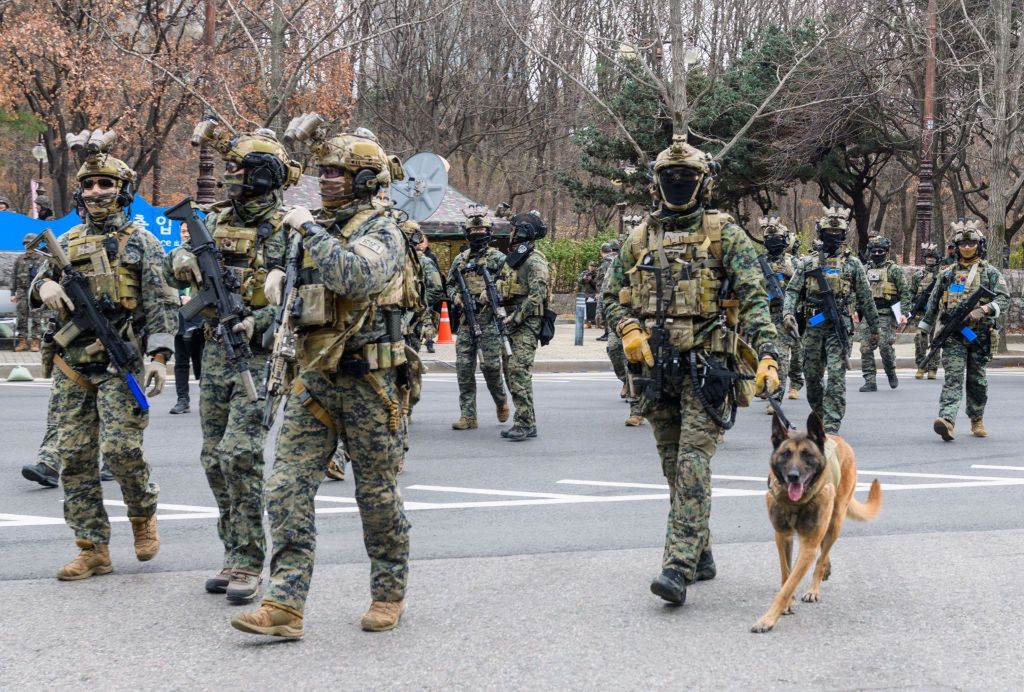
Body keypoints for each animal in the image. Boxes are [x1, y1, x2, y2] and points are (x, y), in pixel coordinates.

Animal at [749, 411, 884, 630]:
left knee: (821, 556)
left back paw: (815, 586)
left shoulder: (809, 545)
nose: (793, 476)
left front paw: (768, 619)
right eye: (785, 454)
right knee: (820, 555)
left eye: (807, 455)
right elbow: (786, 574)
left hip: (834, 522)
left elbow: (790, 583)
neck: (795, 502)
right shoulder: (782, 537)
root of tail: (838, 439)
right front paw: (787, 604)